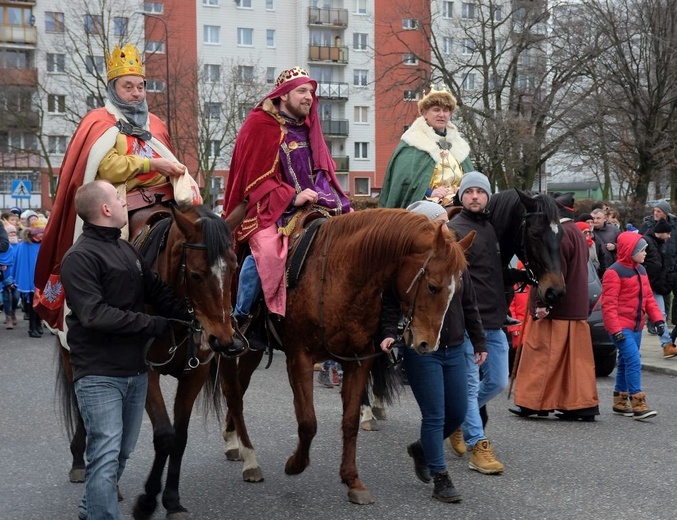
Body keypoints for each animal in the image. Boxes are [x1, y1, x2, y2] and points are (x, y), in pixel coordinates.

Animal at [217, 207, 470, 504]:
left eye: (458, 289)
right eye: (432, 286)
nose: (427, 344)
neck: (340, 278)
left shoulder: (359, 360)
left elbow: (350, 422)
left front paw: (352, 481)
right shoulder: (300, 358)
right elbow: (308, 422)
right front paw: (295, 464)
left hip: (254, 350)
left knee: (240, 387)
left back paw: (233, 440)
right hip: (231, 344)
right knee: (233, 391)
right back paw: (248, 459)